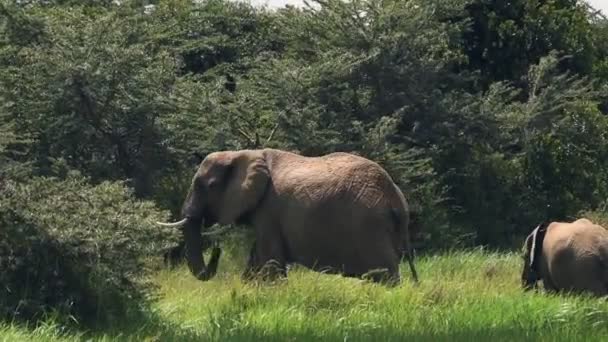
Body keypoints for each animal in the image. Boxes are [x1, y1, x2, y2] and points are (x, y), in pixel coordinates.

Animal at [157, 148, 418, 284]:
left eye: (208, 186)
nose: (217, 250)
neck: (244, 154)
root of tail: (395, 197)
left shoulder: (269, 209)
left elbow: (269, 257)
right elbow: (257, 257)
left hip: (369, 225)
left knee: (385, 272)